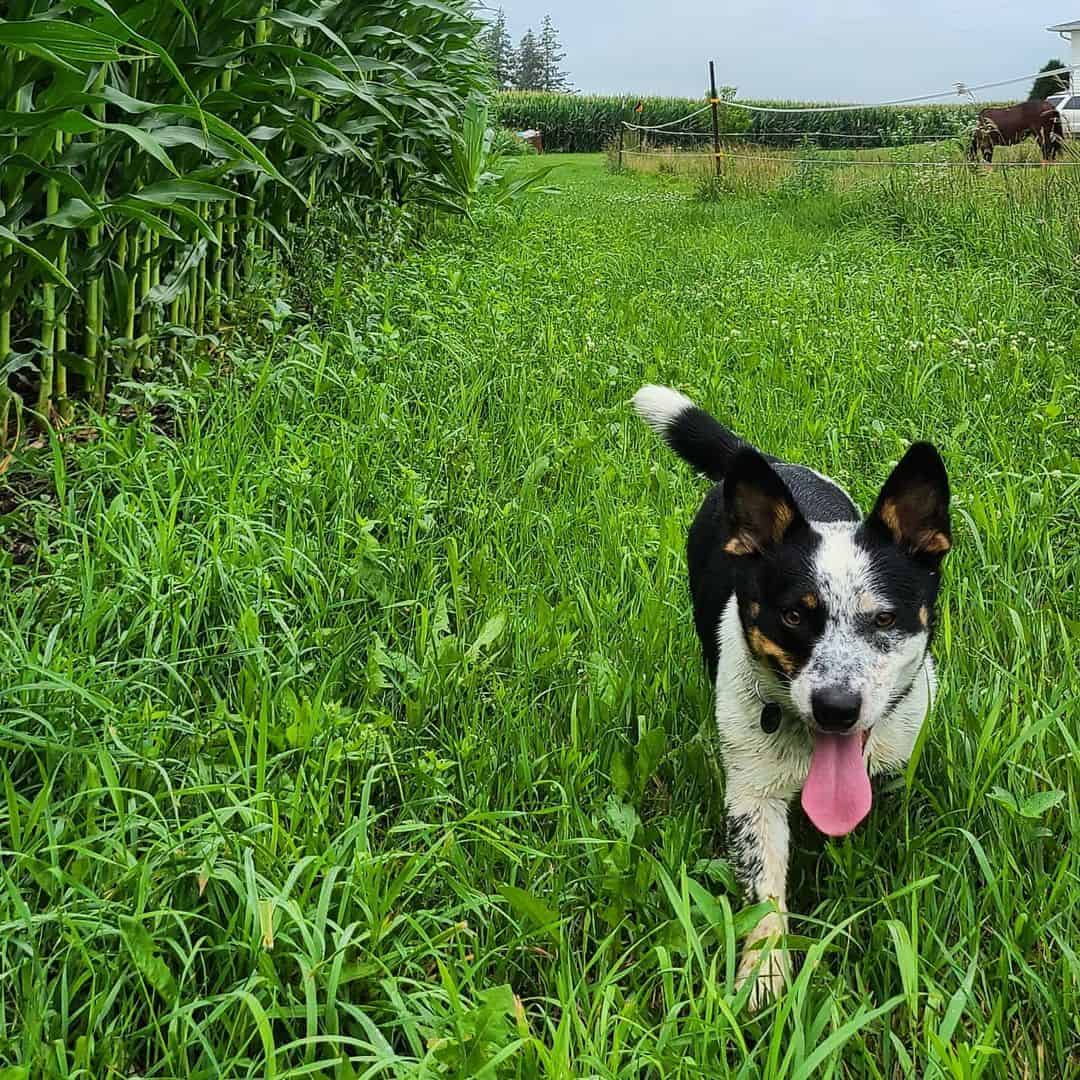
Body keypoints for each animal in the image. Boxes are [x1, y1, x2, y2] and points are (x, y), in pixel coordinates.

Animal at [630, 388, 954, 1010]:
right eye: (794, 616)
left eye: (884, 619)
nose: (836, 707)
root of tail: (768, 463)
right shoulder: (752, 797)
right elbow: (765, 892)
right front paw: (763, 974)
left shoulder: (897, 763)